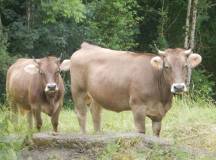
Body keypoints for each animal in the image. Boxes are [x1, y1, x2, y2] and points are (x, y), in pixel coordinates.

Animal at [61, 42, 202, 136]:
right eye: (166, 66)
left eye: (185, 66)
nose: (178, 87)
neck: (162, 97)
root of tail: (85, 46)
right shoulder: (137, 106)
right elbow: (141, 132)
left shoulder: (159, 114)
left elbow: (156, 133)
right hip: (78, 90)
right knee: (81, 114)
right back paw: (84, 135)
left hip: (97, 94)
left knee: (96, 113)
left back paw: (98, 135)